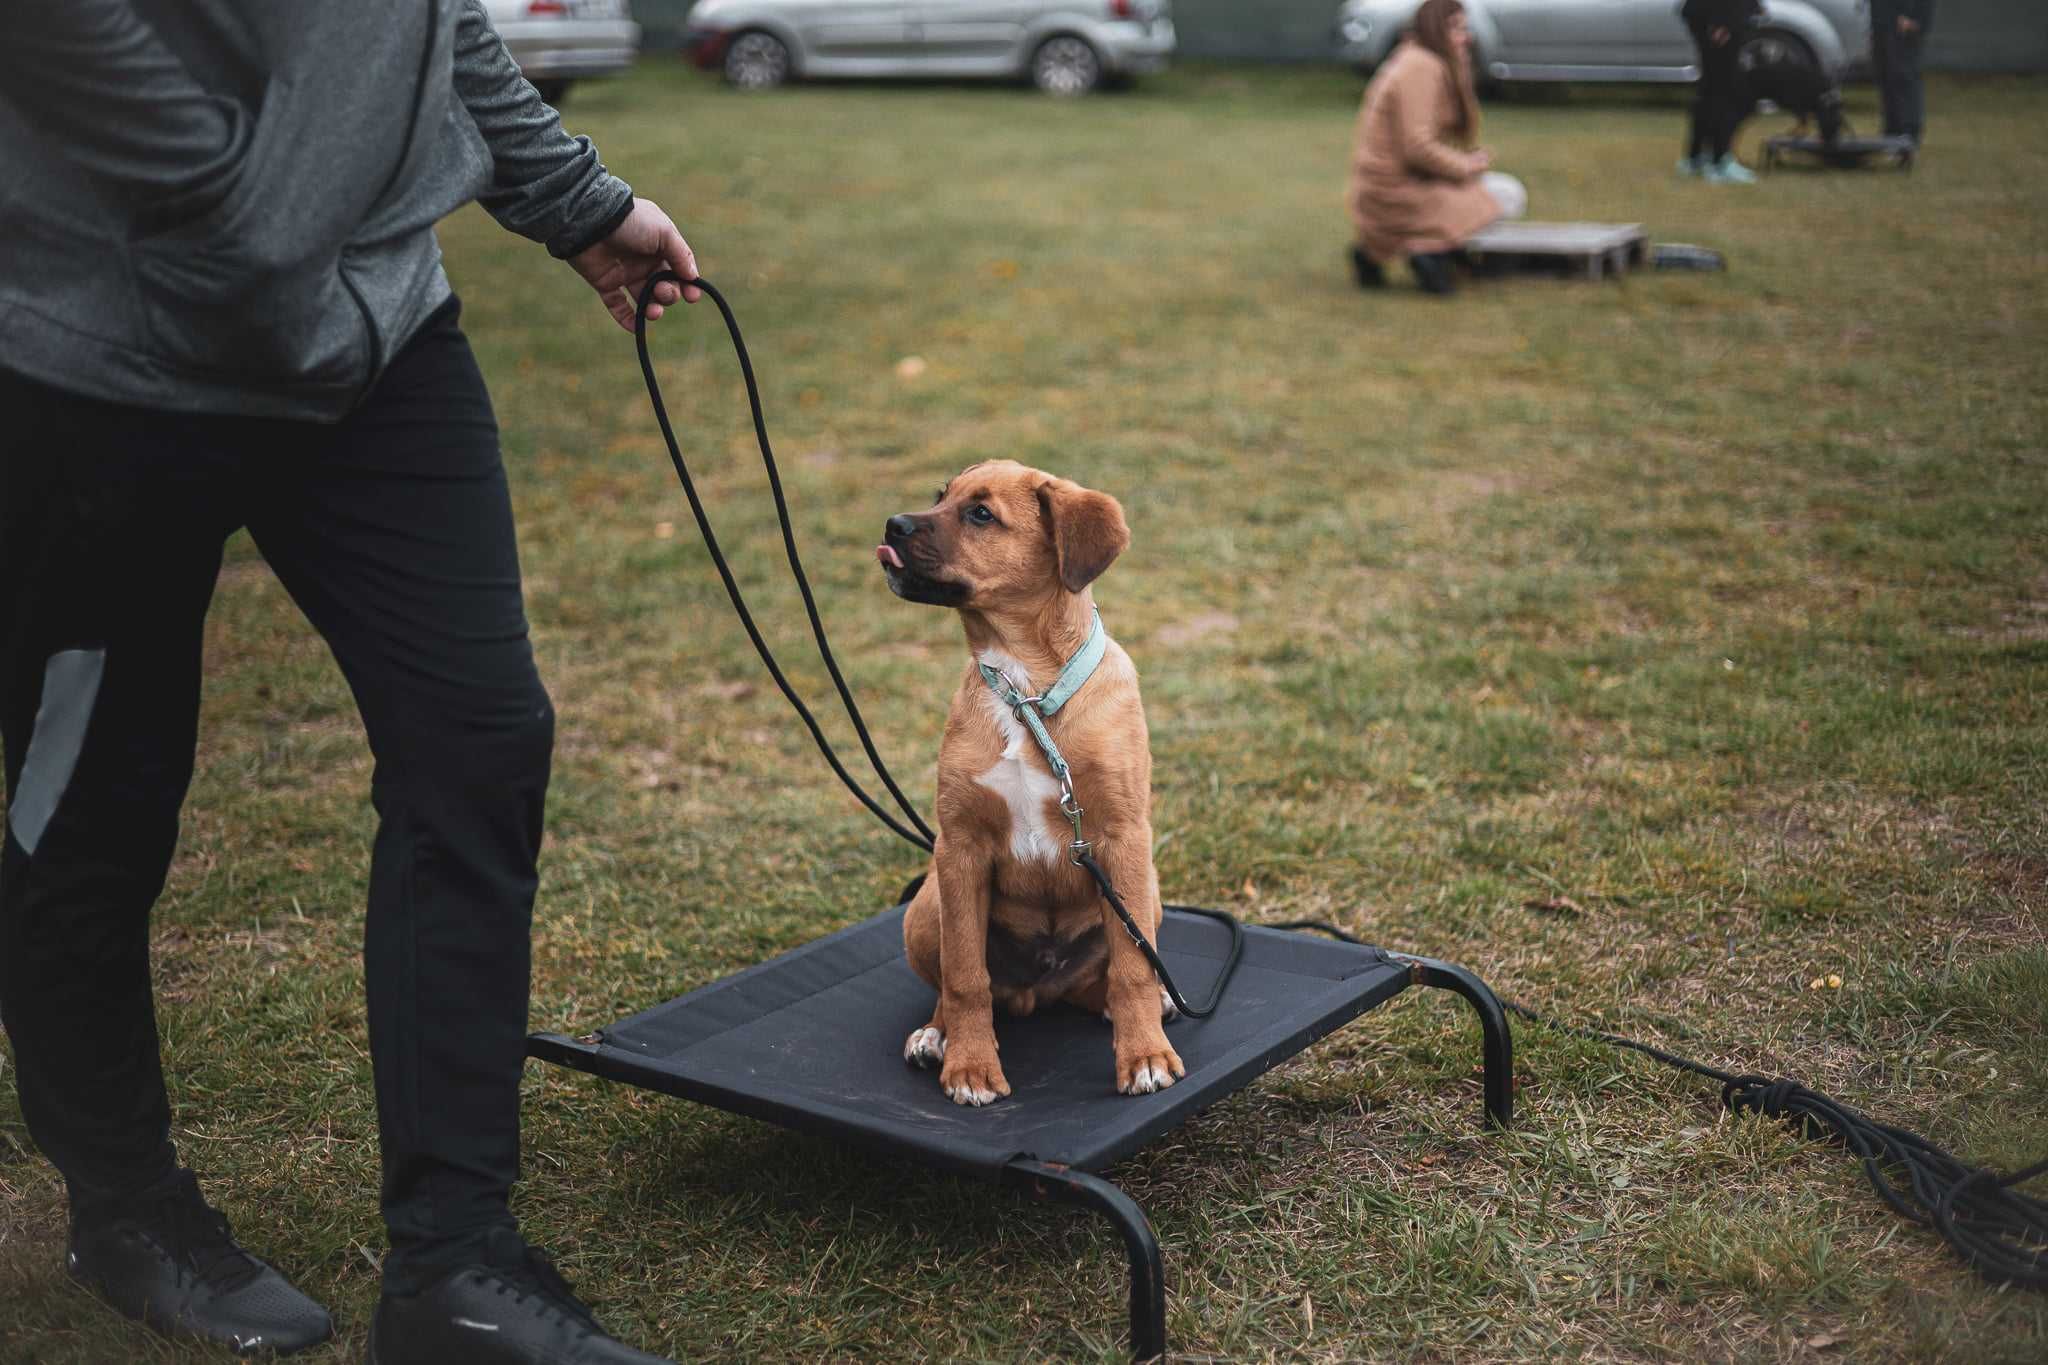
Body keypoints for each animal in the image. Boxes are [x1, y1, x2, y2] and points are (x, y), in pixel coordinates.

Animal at [880, 464, 1187, 1105]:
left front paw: (1144, 1057)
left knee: (1110, 974)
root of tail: (1036, 991)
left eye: (980, 514)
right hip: (927, 904)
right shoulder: (960, 847)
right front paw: (971, 1067)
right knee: (953, 984)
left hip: (1144, 891)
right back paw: (936, 1035)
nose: (891, 525)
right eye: (939, 496)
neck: (1027, 692)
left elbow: (1131, 969)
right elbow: (965, 974)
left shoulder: (1122, 838)